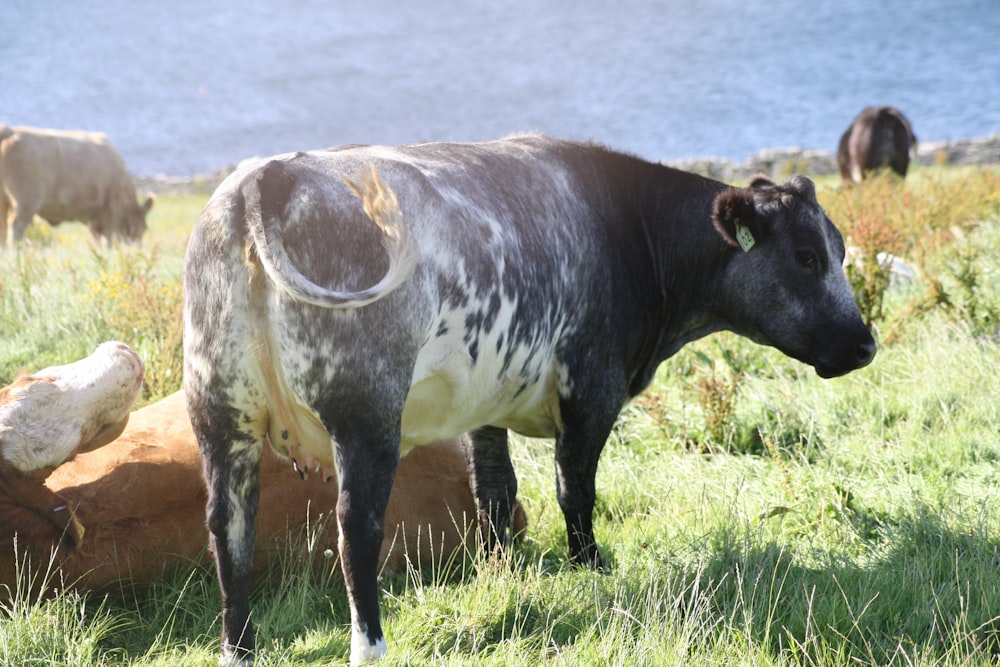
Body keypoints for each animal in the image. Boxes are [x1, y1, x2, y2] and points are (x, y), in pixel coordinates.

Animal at [0, 124, 154, 247]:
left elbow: (98, 238)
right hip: (26, 200)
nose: (137, 248)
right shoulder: (111, 210)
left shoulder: (95, 217)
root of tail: (10, 130)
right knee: (16, 225)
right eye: (144, 227)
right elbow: (108, 237)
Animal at [182, 133, 876, 664]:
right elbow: (576, 490)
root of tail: (268, 176)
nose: (865, 343)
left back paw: (239, 649)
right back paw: (369, 646)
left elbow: (494, 493)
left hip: (221, 419)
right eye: (807, 257)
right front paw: (592, 569)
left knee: (228, 530)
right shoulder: (592, 389)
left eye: (839, 250)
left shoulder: (483, 407)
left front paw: (502, 576)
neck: (626, 229)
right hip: (366, 420)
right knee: (356, 530)